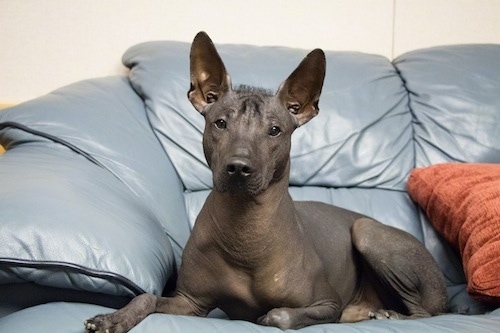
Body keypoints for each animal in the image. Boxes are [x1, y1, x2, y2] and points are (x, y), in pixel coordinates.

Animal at [84, 31, 448, 332]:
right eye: (220, 123)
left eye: (274, 130)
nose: (238, 167)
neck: (245, 232)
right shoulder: (190, 303)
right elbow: (146, 297)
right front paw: (113, 318)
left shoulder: (327, 303)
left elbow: (279, 314)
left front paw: (266, 315)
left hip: (367, 231)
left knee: (425, 313)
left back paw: (390, 314)